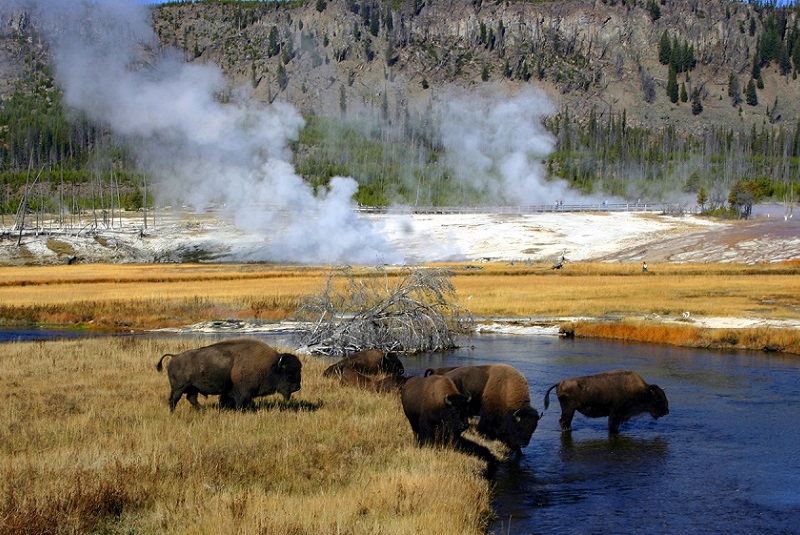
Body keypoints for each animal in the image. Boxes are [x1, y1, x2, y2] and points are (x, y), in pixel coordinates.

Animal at [156, 338, 304, 412]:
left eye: (299, 370)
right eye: (287, 372)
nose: (297, 387)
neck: (270, 366)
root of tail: (174, 357)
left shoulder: (231, 392)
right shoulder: (243, 392)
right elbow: (242, 402)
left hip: (193, 388)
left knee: (191, 398)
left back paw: (202, 410)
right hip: (179, 388)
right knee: (174, 399)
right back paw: (173, 412)